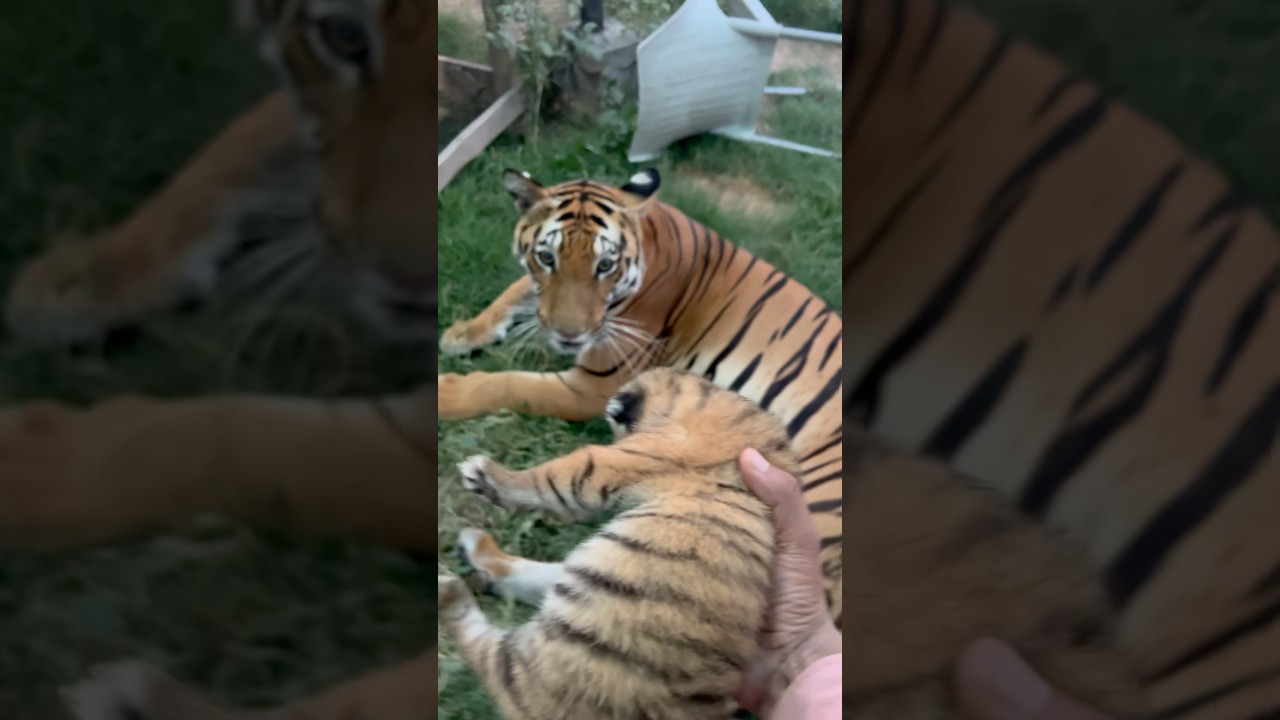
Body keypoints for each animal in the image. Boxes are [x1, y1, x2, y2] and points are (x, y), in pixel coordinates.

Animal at [438, 368, 1146, 719]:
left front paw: (485, 475)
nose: (611, 400)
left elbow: (561, 473)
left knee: (500, 661)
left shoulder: (627, 461)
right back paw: (478, 555)